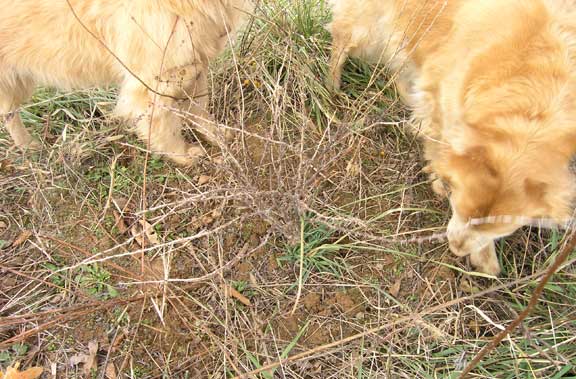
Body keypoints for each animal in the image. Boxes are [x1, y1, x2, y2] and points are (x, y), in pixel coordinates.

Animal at [0, 0, 252, 166]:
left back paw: (30, 147)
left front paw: (219, 136)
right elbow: (163, 125)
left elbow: (200, 110)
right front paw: (183, 155)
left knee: (9, 114)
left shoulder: (192, 67)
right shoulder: (156, 80)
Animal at [328, 0, 576, 276]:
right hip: (368, 26)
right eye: (460, 210)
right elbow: (437, 141)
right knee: (343, 38)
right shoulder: (441, 95)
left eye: (498, 230)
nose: (457, 249)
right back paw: (332, 85)